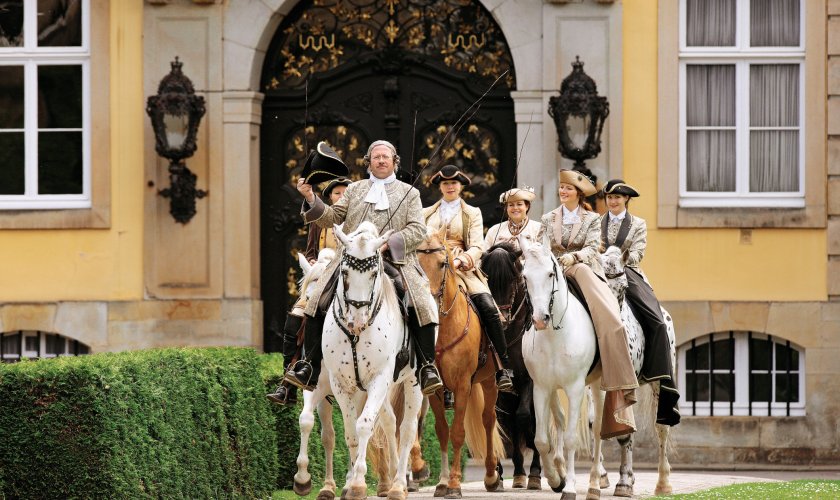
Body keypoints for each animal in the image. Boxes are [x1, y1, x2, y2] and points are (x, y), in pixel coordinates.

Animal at [322, 221, 424, 500]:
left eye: (374, 273)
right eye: (344, 272)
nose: (357, 321)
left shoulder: (379, 378)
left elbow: (364, 425)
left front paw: (358, 482)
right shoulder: (341, 384)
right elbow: (350, 432)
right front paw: (350, 484)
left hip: (413, 383)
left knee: (407, 429)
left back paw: (398, 485)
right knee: (389, 422)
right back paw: (392, 480)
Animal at [417, 227, 504, 499]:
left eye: (443, 263)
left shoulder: (463, 385)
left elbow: (457, 433)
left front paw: (455, 484)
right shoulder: (435, 390)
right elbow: (443, 432)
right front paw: (443, 482)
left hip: (489, 381)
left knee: (488, 420)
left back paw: (491, 476)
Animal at [480, 242, 543, 490]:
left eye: (513, 279)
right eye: (486, 279)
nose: (500, 317)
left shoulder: (530, 382)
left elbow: (525, 418)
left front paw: (535, 472)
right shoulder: (498, 389)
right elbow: (498, 424)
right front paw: (497, 472)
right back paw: (516, 472)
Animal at [518, 235, 606, 500]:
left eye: (550, 273)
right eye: (525, 276)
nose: (539, 319)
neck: (555, 336)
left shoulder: (575, 389)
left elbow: (570, 438)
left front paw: (570, 487)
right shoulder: (541, 388)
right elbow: (541, 440)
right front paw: (556, 479)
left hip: (599, 385)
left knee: (598, 428)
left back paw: (595, 484)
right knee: (560, 419)